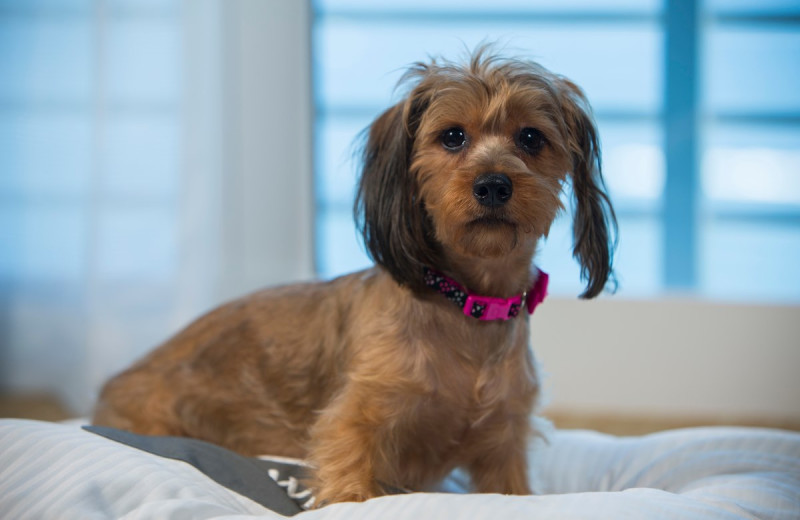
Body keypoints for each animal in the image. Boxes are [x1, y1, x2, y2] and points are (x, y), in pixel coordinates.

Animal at [95, 47, 620, 504]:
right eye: (452, 136)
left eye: (531, 138)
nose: (493, 184)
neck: (466, 304)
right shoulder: (353, 423)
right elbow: (351, 486)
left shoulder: (504, 444)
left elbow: (512, 489)